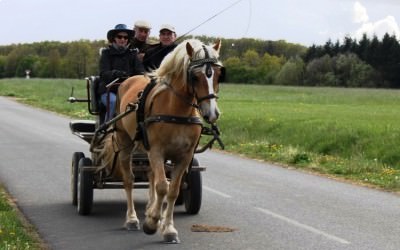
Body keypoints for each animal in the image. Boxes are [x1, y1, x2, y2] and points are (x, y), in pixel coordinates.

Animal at [96, 38, 222, 243]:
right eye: (195, 77)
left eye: (218, 74)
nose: (212, 113)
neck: (177, 110)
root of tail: (128, 79)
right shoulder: (156, 151)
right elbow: (163, 186)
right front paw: (152, 223)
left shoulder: (184, 156)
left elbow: (173, 189)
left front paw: (168, 228)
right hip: (125, 142)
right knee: (129, 180)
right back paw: (132, 219)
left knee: (151, 176)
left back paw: (150, 209)